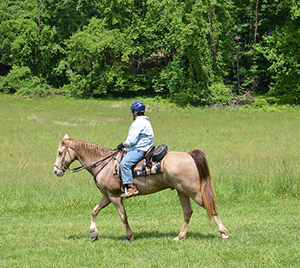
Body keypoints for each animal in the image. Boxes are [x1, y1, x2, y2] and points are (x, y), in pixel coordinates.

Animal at [54, 135, 229, 242]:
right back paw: (180, 236)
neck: (104, 163)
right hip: (182, 191)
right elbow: (94, 211)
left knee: (211, 207)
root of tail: (188, 155)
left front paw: (129, 236)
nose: (56, 171)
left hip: (194, 191)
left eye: (60, 152)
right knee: (188, 212)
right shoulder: (108, 195)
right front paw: (93, 233)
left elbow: (123, 216)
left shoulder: (114, 196)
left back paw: (224, 233)